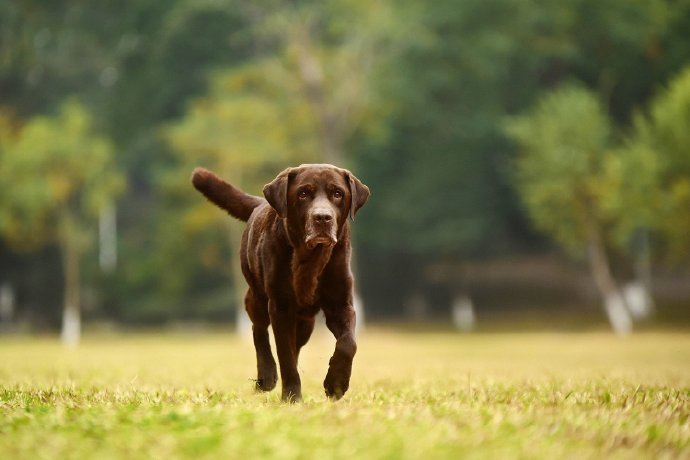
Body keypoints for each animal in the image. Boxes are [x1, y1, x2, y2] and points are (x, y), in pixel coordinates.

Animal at [191, 164, 368, 400]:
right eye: (303, 193)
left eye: (338, 193)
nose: (322, 217)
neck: (310, 258)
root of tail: (261, 202)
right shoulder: (280, 307)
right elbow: (285, 358)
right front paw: (292, 397)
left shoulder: (341, 304)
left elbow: (348, 344)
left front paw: (336, 383)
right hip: (256, 295)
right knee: (259, 331)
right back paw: (265, 377)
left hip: (305, 322)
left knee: (296, 345)